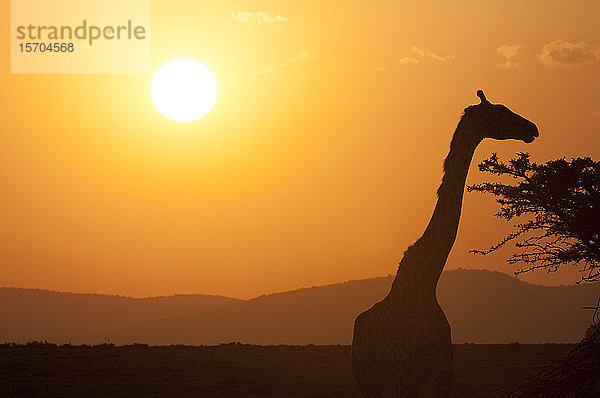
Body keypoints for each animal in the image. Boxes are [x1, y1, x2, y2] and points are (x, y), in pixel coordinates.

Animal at [352, 91, 540, 396]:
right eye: (500, 112)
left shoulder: (444, 374)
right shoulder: (402, 376)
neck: (427, 284)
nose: (532, 129)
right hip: (367, 380)